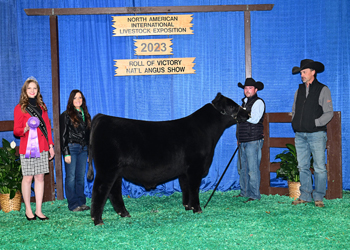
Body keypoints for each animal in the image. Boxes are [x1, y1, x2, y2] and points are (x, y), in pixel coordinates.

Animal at [89, 93, 250, 226]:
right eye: (232, 106)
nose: (247, 113)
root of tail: (102, 117)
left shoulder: (185, 171)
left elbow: (186, 188)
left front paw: (188, 207)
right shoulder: (195, 167)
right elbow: (194, 188)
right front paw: (197, 208)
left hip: (116, 171)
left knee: (114, 191)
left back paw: (124, 214)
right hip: (106, 169)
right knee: (100, 190)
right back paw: (98, 220)